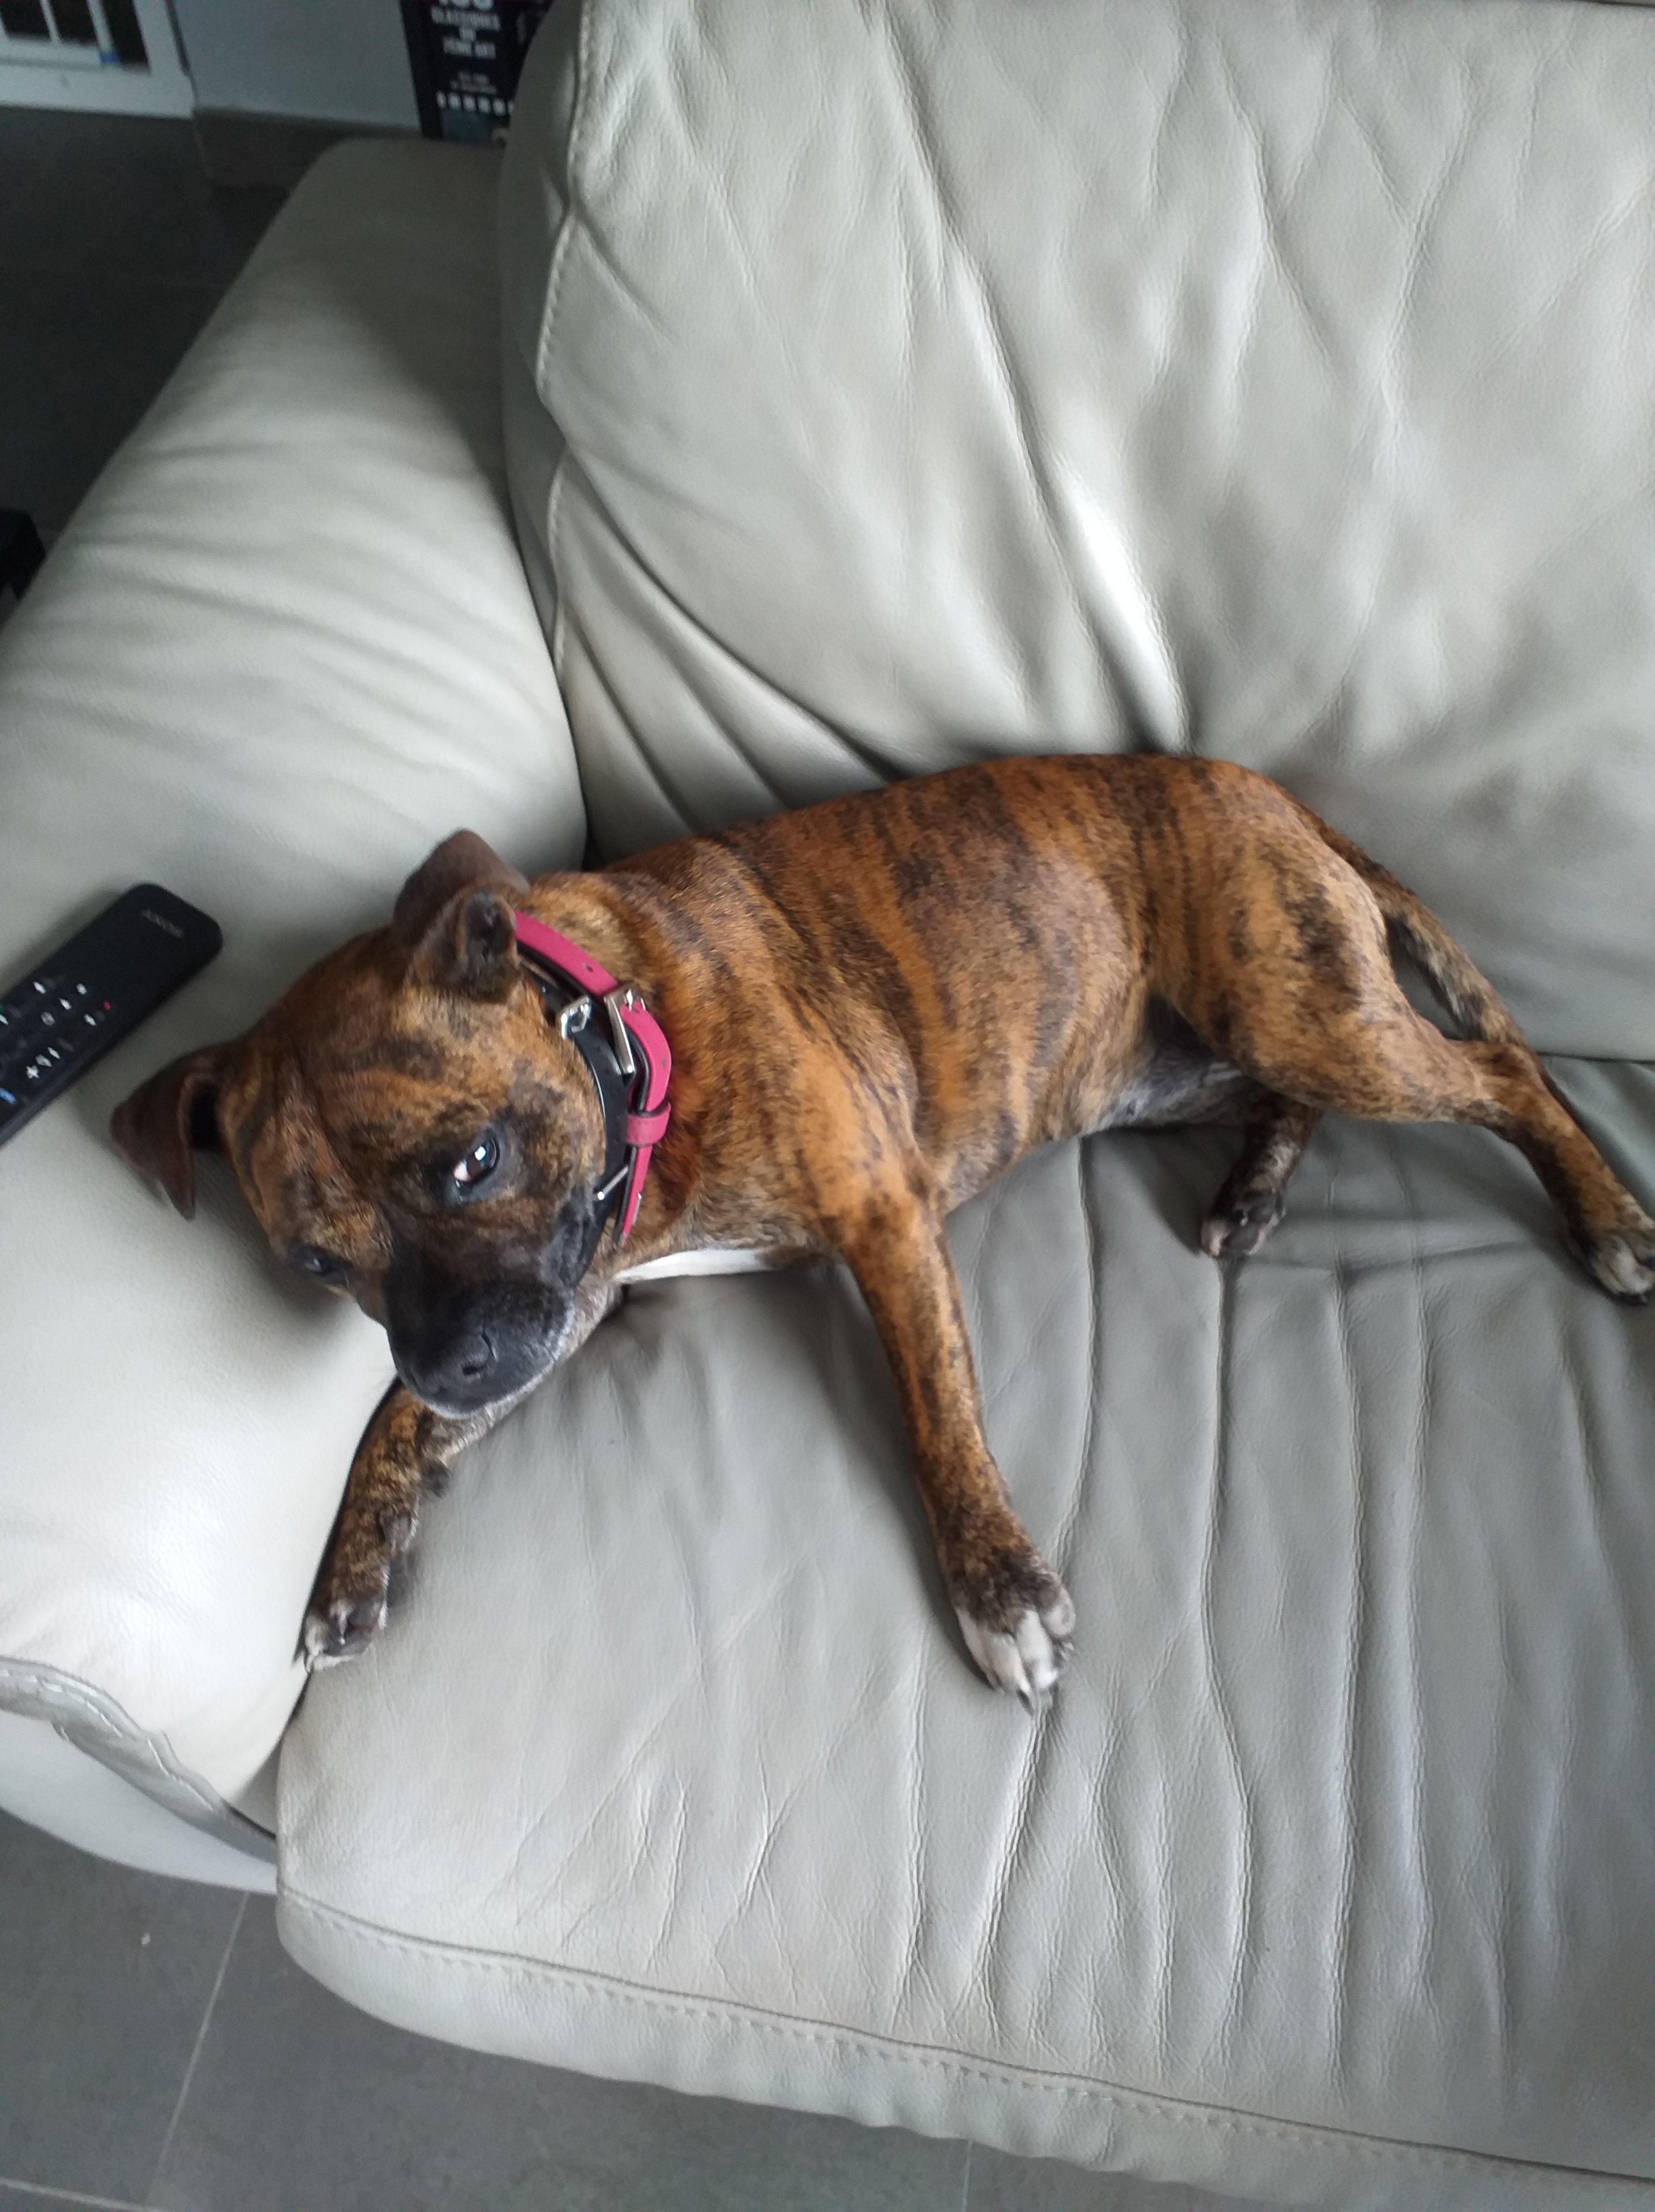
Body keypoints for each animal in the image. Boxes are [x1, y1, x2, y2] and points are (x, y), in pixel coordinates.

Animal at [111, 755, 1655, 1709]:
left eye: (469, 1163)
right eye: (315, 1265)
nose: (454, 1369)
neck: (613, 1034)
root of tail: (1274, 795)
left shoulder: (876, 1219)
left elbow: (935, 1411)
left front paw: (998, 1588)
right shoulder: (564, 1305)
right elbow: (389, 1420)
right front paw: (356, 1555)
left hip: (1298, 1007)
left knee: (1502, 1074)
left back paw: (1605, 1215)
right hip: (1174, 1067)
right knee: (1302, 1102)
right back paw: (1258, 1187)